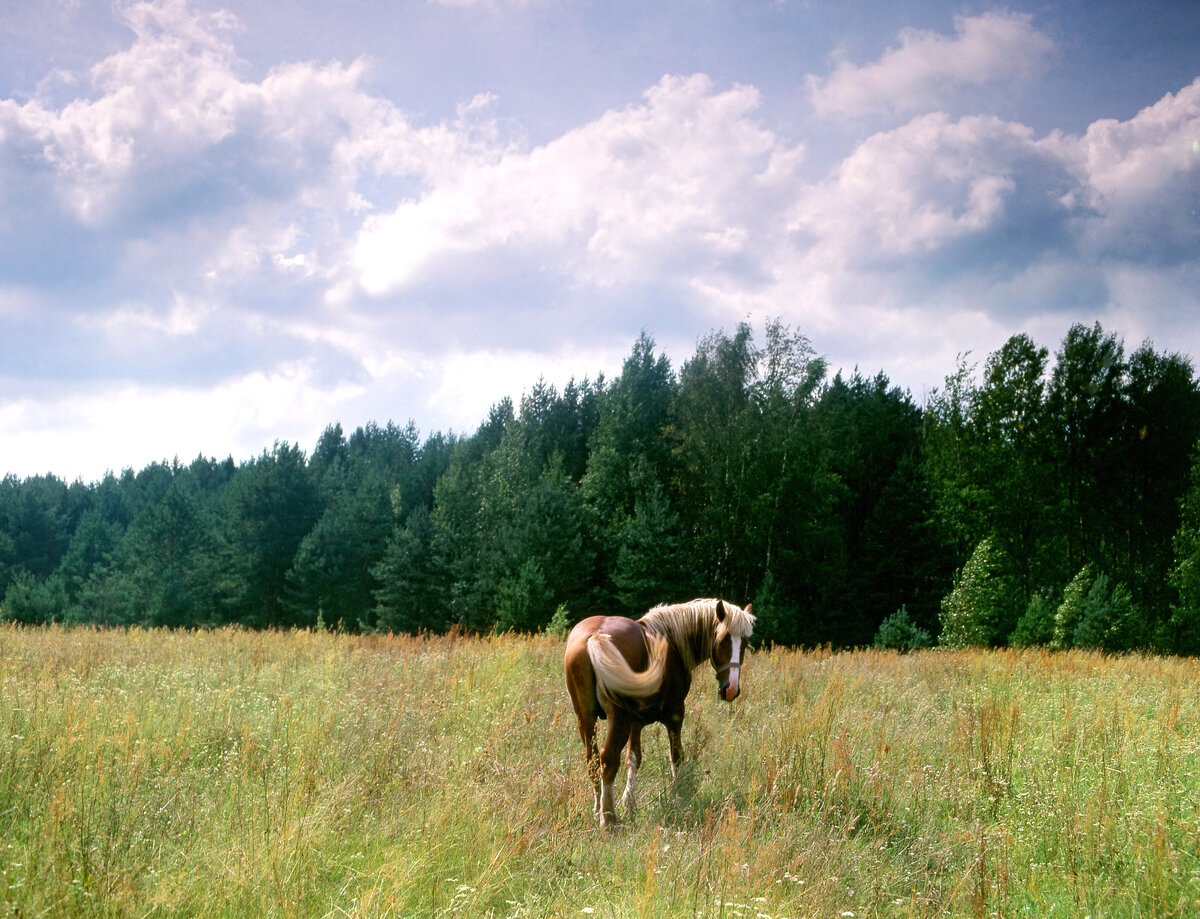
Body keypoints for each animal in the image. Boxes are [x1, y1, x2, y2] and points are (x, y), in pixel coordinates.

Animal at [559, 599, 748, 830]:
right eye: (721, 642)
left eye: (745, 643)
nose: (731, 689)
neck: (671, 641)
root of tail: (596, 636)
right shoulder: (675, 714)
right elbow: (676, 756)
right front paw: (678, 796)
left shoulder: (635, 723)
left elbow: (634, 758)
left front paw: (629, 804)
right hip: (618, 719)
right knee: (608, 759)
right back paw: (609, 819)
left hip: (585, 717)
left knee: (592, 759)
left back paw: (597, 810)